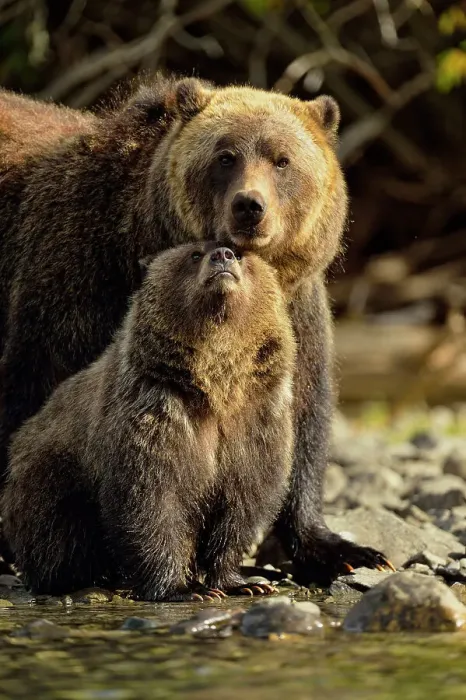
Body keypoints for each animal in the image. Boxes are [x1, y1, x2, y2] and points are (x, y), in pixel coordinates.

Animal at [2, 241, 295, 599]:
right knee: (59, 531)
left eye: (240, 255)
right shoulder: (155, 412)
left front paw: (243, 583)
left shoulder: (256, 422)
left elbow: (242, 503)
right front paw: (183, 589)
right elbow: (152, 499)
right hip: (50, 475)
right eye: (193, 255)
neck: (216, 385)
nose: (223, 255)